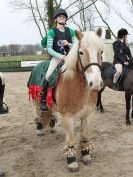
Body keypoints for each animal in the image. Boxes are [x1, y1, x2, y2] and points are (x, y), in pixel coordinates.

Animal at [28, 28, 104, 172]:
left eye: (101, 52)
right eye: (81, 52)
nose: (96, 83)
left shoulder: (88, 114)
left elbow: (84, 135)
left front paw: (86, 155)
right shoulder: (68, 117)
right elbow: (71, 139)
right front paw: (72, 161)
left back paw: (52, 126)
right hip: (36, 101)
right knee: (38, 114)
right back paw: (40, 129)